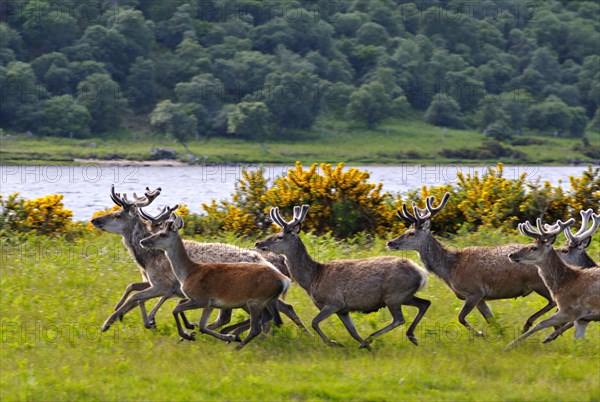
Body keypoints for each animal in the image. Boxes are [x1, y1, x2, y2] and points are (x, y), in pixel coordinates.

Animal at [141, 215, 290, 350]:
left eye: (162, 234)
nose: (143, 241)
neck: (188, 272)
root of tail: (284, 281)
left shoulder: (201, 299)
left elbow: (175, 309)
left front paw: (187, 334)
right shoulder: (210, 304)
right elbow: (202, 326)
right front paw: (195, 332)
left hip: (256, 300)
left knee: (257, 326)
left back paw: (237, 346)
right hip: (262, 301)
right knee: (269, 317)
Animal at [255, 206, 428, 348]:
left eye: (279, 236)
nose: (258, 243)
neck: (313, 278)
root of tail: (421, 273)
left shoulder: (334, 302)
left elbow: (314, 322)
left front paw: (334, 343)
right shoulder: (343, 310)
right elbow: (353, 331)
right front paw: (365, 346)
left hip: (393, 295)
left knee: (399, 318)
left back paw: (374, 337)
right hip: (404, 295)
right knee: (425, 303)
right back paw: (408, 337)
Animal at [386, 193, 556, 334]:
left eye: (411, 233)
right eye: (406, 230)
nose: (390, 242)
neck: (451, 269)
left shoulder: (475, 291)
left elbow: (460, 317)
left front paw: (480, 334)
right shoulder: (481, 298)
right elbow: (492, 321)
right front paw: (497, 337)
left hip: (539, 283)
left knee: (553, 301)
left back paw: (530, 324)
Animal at [506, 217, 600, 348]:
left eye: (533, 247)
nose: (511, 254)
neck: (565, 282)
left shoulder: (570, 310)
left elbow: (540, 323)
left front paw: (511, 345)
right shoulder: (581, 318)